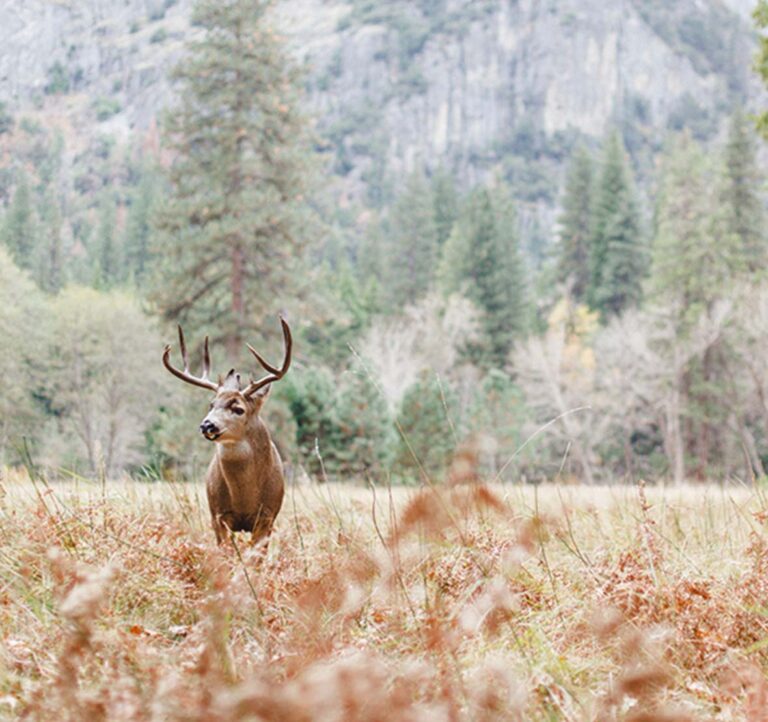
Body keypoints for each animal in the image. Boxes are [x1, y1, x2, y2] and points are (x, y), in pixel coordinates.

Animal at [161, 316, 292, 544]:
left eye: (238, 409)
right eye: (211, 405)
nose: (207, 424)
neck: (244, 498)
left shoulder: (267, 517)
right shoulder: (218, 515)